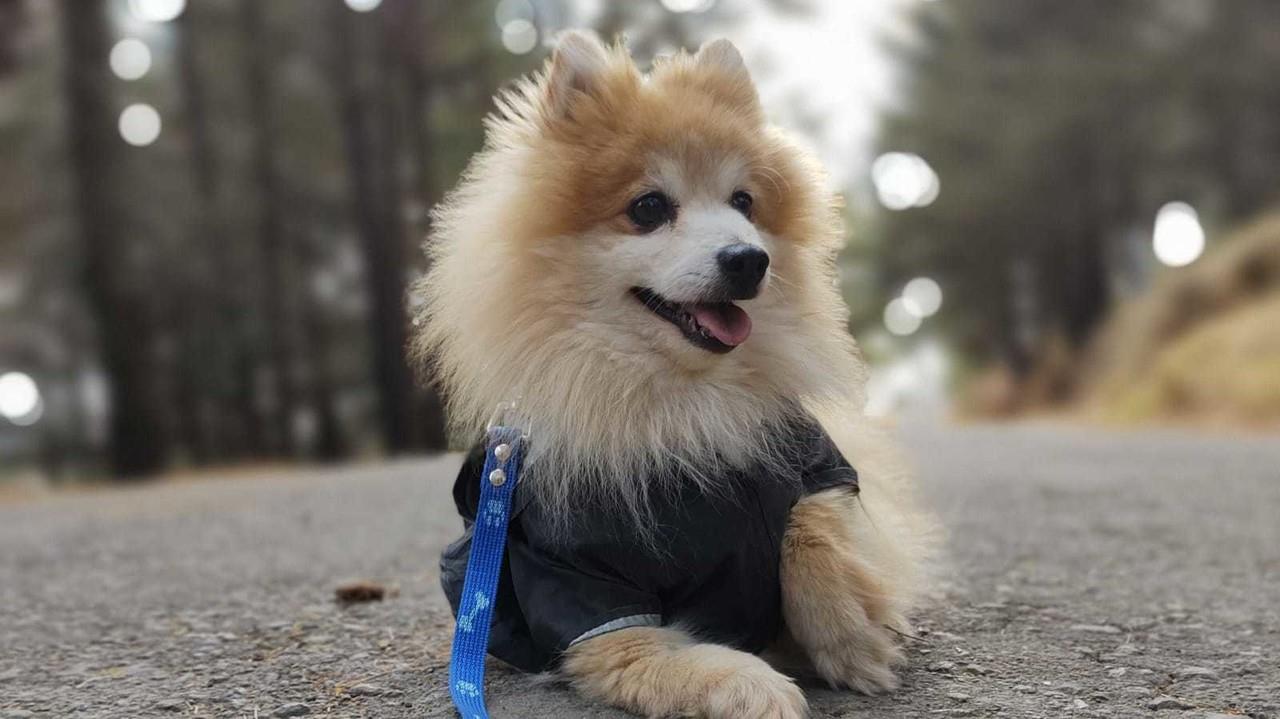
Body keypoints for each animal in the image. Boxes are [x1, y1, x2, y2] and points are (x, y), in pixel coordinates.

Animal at [414, 29, 936, 716]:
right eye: (649, 207)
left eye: (743, 202)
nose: (748, 258)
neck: (683, 401)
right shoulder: (582, 592)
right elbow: (674, 660)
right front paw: (758, 688)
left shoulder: (816, 464)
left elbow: (813, 534)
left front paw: (853, 641)